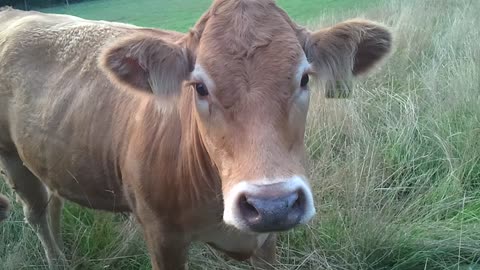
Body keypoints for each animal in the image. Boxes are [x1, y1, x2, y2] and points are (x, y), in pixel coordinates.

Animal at [0, 1, 392, 268]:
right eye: (199, 87)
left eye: (305, 78)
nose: (272, 204)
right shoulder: (162, 237)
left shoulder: (266, 242)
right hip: (10, 154)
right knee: (36, 211)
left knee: (53, 200)